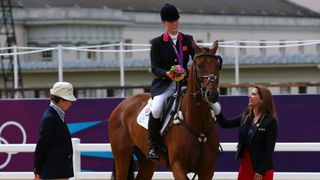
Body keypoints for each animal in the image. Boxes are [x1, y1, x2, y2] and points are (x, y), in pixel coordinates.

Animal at [109, 41, 221, 180]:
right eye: (200, 65)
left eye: (217, 66)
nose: (212, 95)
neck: (197, 122)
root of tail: (121, 105)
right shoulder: (178, 166)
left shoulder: (207, 170)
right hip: (122, 157)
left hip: (147, 161)